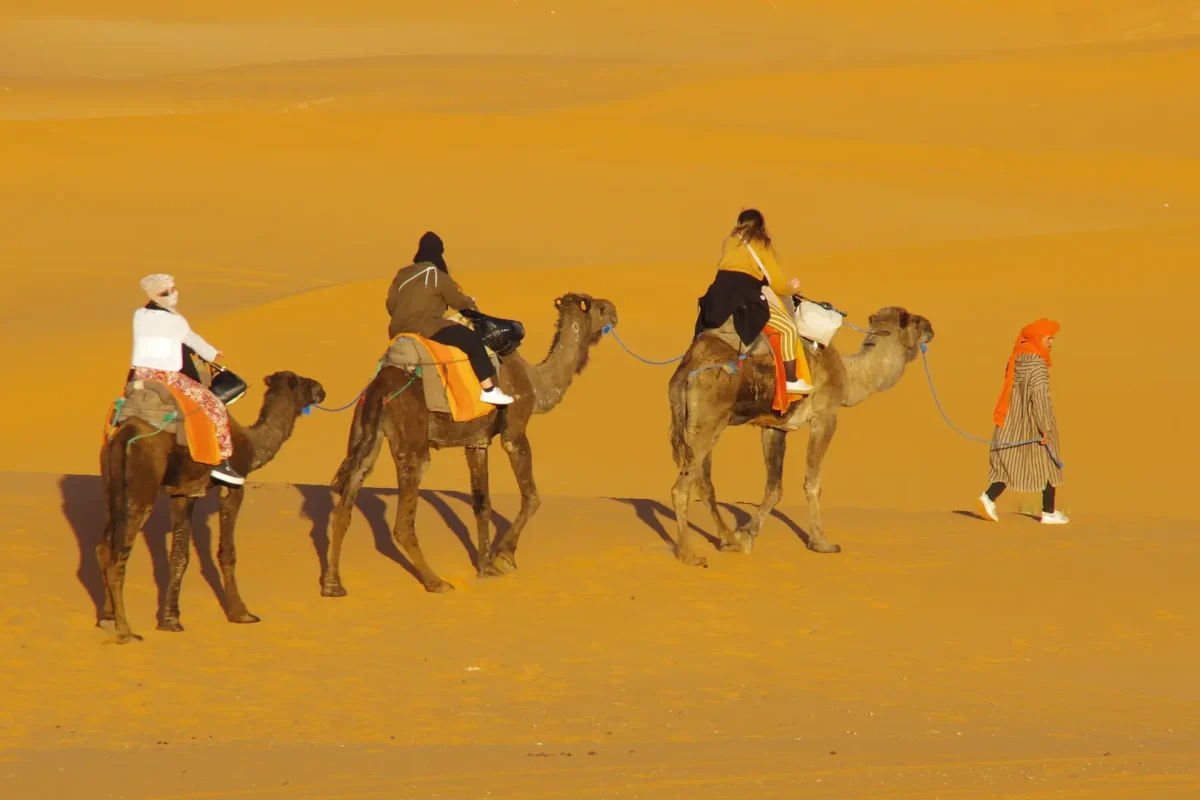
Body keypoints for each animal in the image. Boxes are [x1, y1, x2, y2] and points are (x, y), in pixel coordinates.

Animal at [98, 371, 326, 643]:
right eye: (302, 381)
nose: (321, 389)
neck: (251, 442)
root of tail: (123, 436)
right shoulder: (234, 486)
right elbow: (227, 552)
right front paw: (241, 613)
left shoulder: (184, 493)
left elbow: (179, 555)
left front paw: (170, 621)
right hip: (140, 488)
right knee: (118, 558)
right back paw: (126, 631)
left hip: (111, 486)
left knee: (104, 548)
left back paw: (107, 619)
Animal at [323, 292, 618, 596]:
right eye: (599, 307)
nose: (615, 312)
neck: (537, 385)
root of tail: (380, 386)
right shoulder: (515, 428)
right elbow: (532, 496)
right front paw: (504, 558)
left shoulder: (477, 443)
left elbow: (482, 504)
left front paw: (485, 567)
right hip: (411, 437)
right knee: (403, 520)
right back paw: (436, 582)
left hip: (366, 434)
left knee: (346, 501)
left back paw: (333, 584)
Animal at [667, 306, 934, 566]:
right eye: (916, 322)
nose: (931, 328)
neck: (848, 376)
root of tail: (687, 370)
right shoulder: (825, 417)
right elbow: (813, 482)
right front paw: (822, 543)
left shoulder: (774, 426)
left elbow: (774, 487)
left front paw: (746, 533)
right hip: (709, 419)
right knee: (682, 487)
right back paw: (690, 555)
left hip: (702, 423)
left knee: (703, 483)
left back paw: (728, 540)